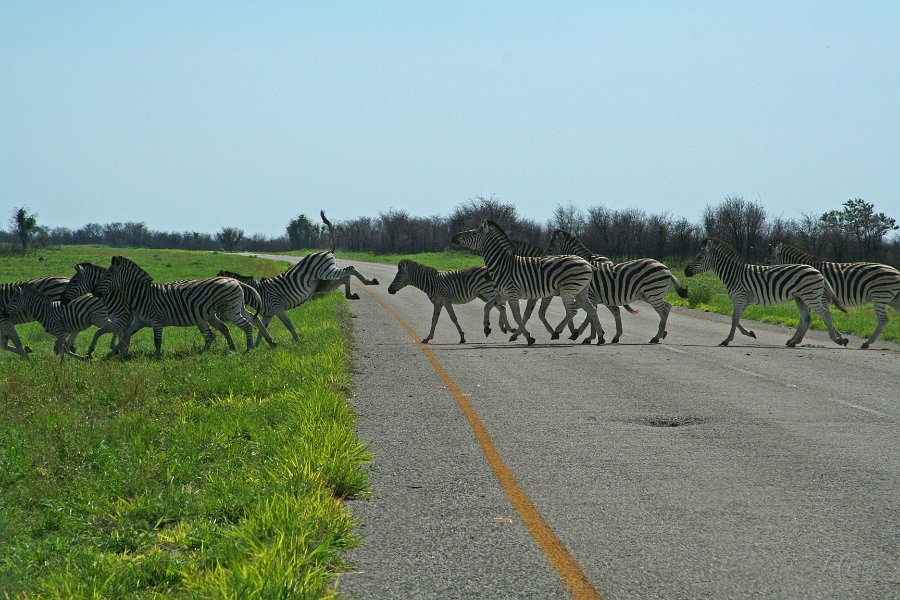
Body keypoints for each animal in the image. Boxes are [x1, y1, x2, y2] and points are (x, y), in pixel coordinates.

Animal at [95, 256, 276, 358]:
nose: (96, 291)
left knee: (246, 325)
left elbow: (157, 340)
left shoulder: (156, 320)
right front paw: (115, 353)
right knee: (251, 319)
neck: (141, 295)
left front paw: (157, 356)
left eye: (108, 274)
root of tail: (235, 281)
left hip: (230, 310)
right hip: (235, 307)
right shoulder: (139, 321)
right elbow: (126, 335)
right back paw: (238, 347)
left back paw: (248, 349)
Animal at [454, 220, 600, 344]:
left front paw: (527, 337)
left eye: (474, 233)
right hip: (581, 291)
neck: (503, 264)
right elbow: (488, 306)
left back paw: (559, 331)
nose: (455, 236)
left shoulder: (512, 293)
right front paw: (486, 328)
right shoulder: (503, 293)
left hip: (568, 290)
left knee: (573, 311)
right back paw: (599, 337)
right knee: (591, 310)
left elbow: (517, 315)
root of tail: (587, 262)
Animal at [540, 229, 688, 344]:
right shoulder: (593, 297)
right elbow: (591, 315)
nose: (542, 261)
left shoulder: (591, 295)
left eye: (550, 249)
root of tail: (666, 268)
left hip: (653, 293)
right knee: (668, 306)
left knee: (663, 311)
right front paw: (591, 336)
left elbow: (590, 314)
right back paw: (661, 333)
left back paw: (656, 337)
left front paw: (584, 335)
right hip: (650, 294)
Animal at [684, 236, 848, 346]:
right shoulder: (743, 300)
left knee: (825, 314)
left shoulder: (740, 298)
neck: (734, 274)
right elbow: (736, 319)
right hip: (801, 298)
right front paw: (749, 333)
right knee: (808, 318)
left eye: (699, 257)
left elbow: (734, 319)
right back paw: (794, 342)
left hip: (810, 296)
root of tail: (817, 271)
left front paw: (727, 340)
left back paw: (835, 339)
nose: (685, 271)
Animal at [764, 243, 900, 350]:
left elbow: (816, 317)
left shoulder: (819, 297)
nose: (766, 280)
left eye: (769, 262)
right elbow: (806, 318)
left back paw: (867, 343)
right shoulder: (811, 297)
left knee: (883, 320)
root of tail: (896, 271)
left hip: (880, 296)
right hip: (893, 300)